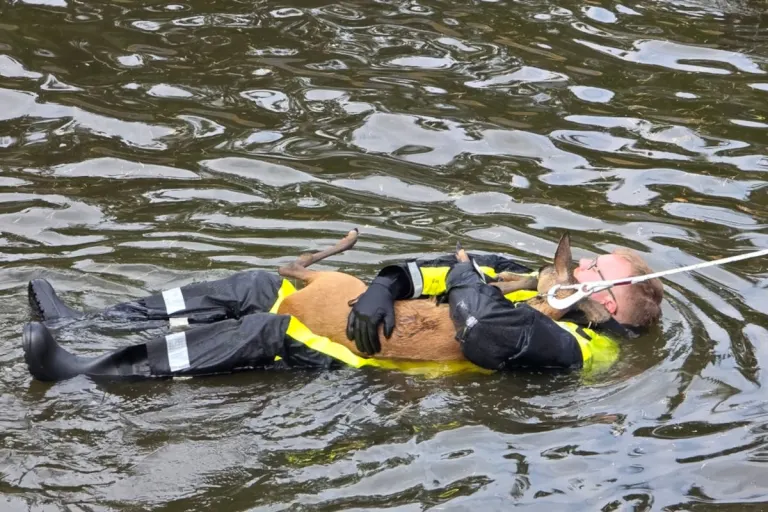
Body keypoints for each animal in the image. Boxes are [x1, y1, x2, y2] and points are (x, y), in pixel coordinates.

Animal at [276, 229, 611, 361]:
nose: (537, 269)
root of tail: (288, 304)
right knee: (289, 265)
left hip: (338, 281)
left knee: (291, 264)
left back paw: (350, 238)